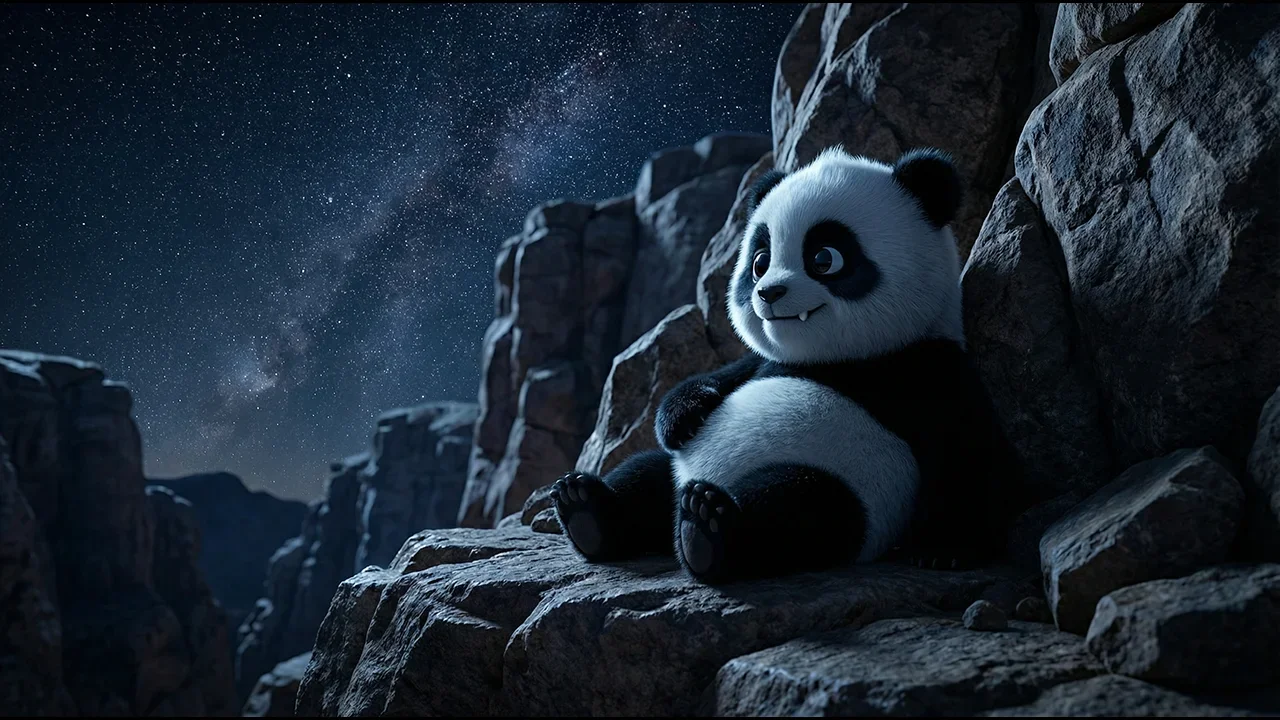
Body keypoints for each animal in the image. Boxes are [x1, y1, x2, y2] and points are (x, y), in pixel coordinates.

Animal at [551, 146, 1021, 584]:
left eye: (825, 258)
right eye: (759, 261)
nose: (769, 292)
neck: (838, 359)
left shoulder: (927, 364)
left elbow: (969, 448)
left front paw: (946, 549)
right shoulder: (765, 362)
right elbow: (722, 377)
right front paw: (682, 416)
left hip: (851, 487)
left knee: (797, 509)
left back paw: (706, 530)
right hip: (675, 473)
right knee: (644, 475)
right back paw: (585, 508)